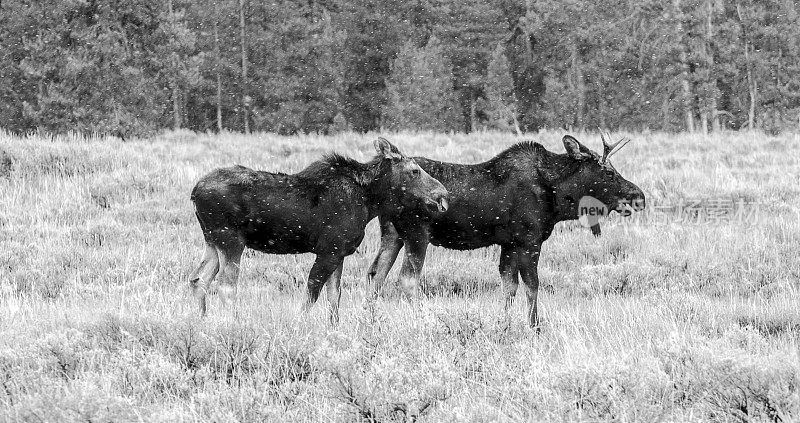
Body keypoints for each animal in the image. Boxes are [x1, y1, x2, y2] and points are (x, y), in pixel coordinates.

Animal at [188, 137, 450, 322]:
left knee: (198, 279)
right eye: (414, 170)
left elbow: (334, 296)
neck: (370, 201)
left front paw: (334, 327)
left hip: (211, 241)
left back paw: (200, 322)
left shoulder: (339, 252)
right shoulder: (328, 250)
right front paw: (300, 324)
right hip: (230, 240)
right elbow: (312, 293)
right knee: (226, 286)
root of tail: (194, 191)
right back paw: (234, 324)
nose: (442, 193)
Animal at [366, 134, 648, 330]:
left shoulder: (509, 244)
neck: (556, 195)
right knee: (406, 279)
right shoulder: (529, 240)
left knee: (375, 275)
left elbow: (509, 286)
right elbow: (533, 286)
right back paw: (422, 320)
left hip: (392, 235)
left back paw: (370, 321)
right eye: (608, 171)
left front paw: (505, 324)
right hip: (416, 234)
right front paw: (534, 327)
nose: (639, 196)